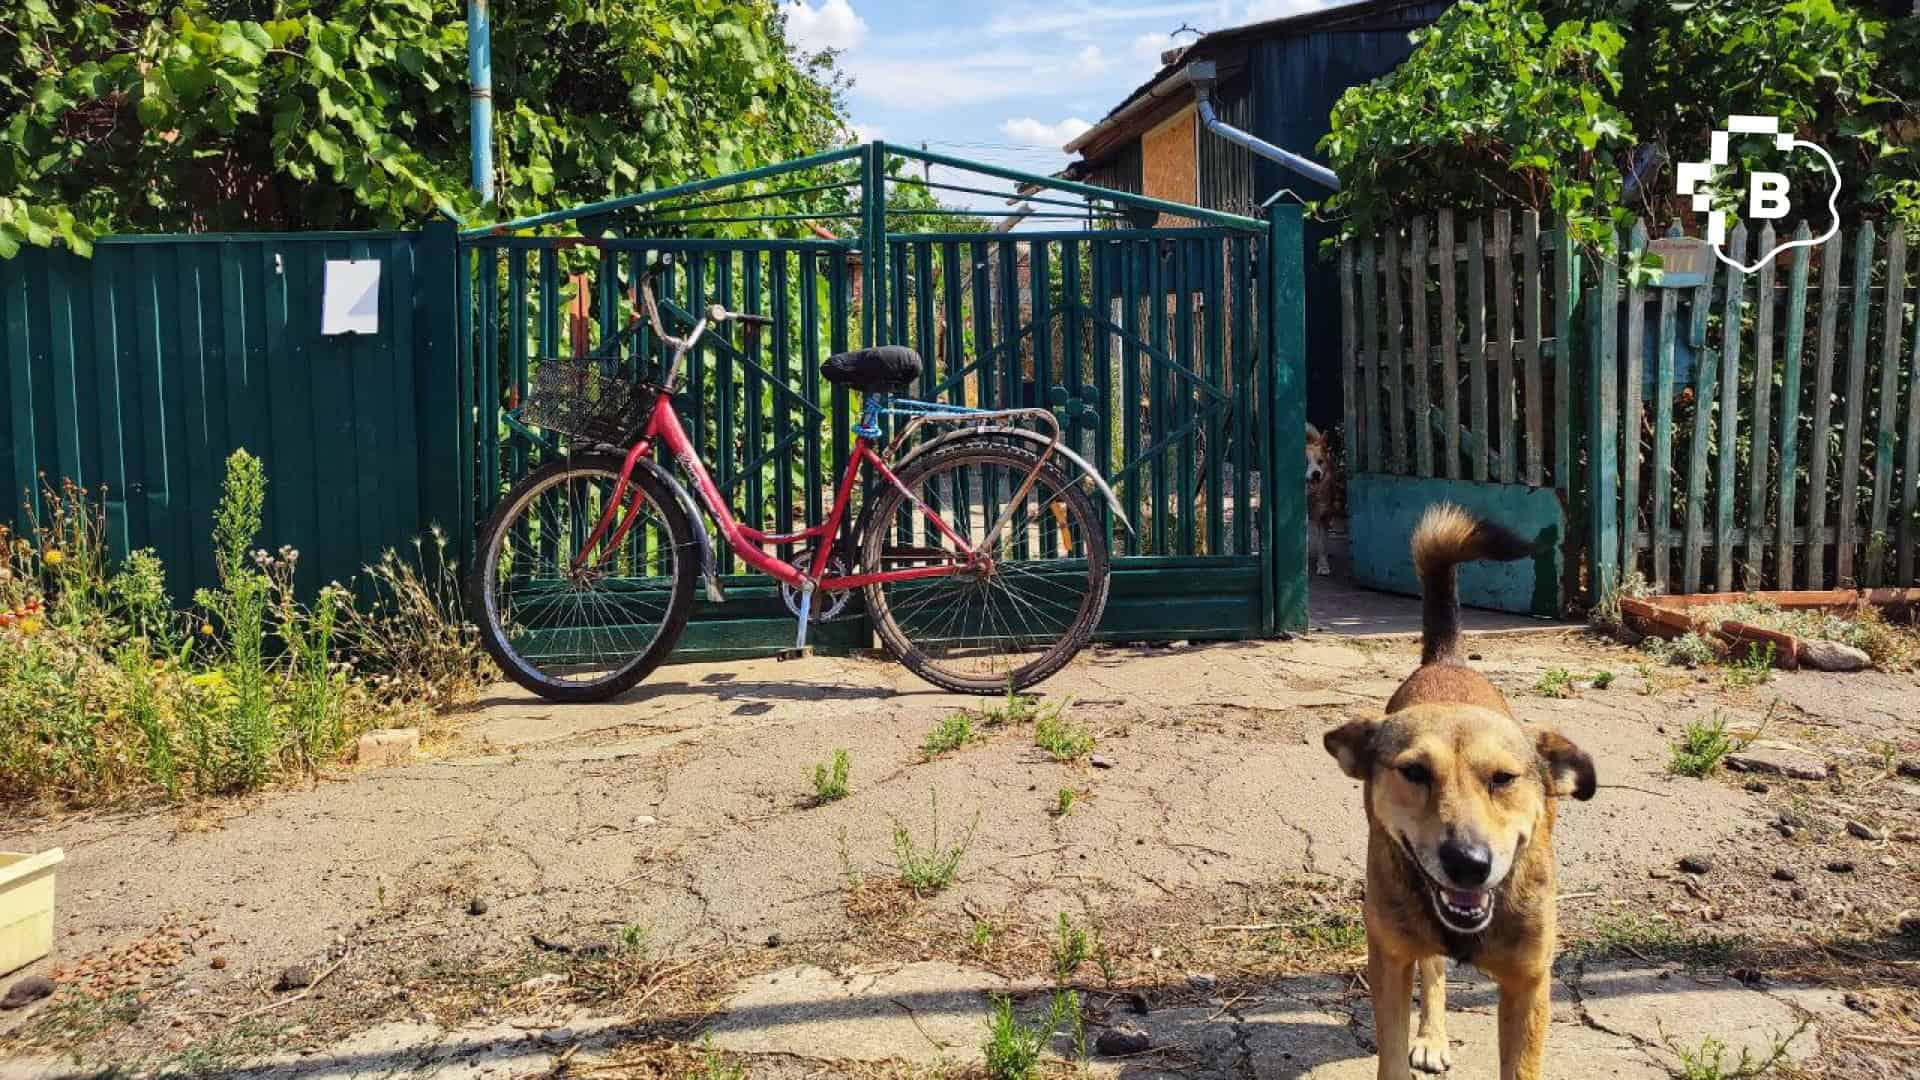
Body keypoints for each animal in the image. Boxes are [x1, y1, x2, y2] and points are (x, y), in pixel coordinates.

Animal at [1328, 503, 1597, 1076]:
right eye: (1414, 773)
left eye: (1503, 779)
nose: (1468, 864)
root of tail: (1447, 661)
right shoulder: (1388, 958)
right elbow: (1391, 1050)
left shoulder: (1528, 984)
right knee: (1432, 968)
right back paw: (1432, 1035)